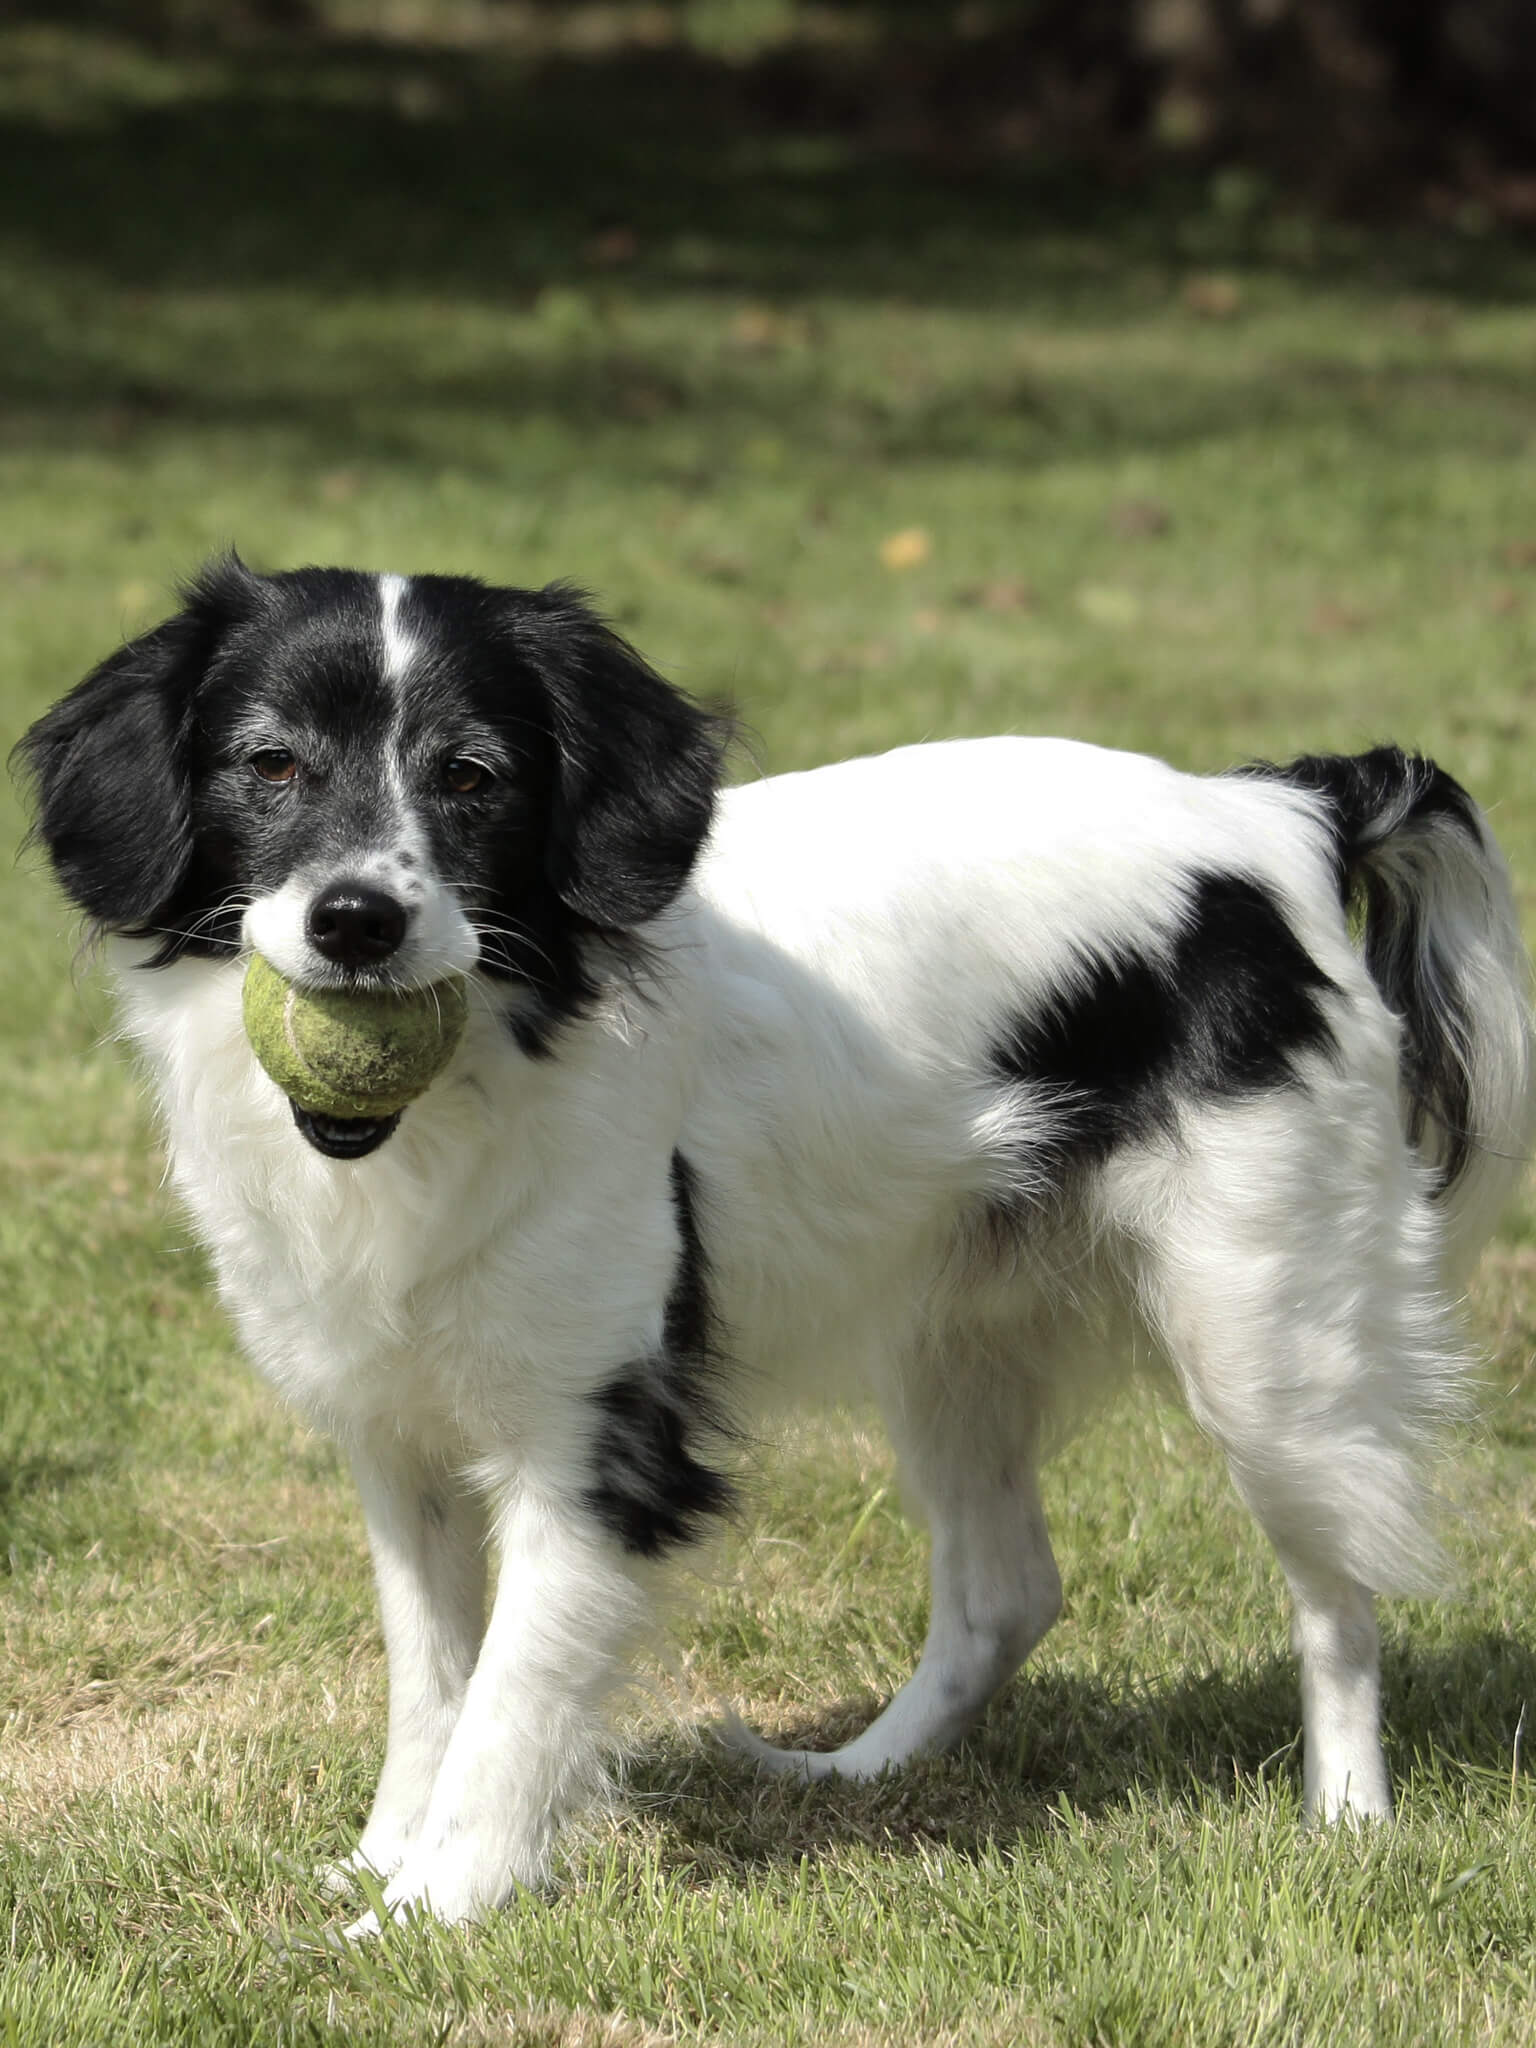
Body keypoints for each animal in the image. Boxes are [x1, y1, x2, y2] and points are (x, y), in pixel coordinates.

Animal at [15, 552, 1536, 1925]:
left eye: (472, 777)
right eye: (268, 766)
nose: (356, 920)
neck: (473, 1076)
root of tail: (1279, 812)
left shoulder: (599, 1445)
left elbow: (513, 1696)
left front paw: (436, 1910)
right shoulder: (394, 1434)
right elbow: (433, 1676)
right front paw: (387, 1859)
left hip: (1264, 1339)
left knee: (1339, 1593)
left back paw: (1347, 1823)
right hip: (953, 1341)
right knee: (1007, 1590)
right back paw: (855, 1776)